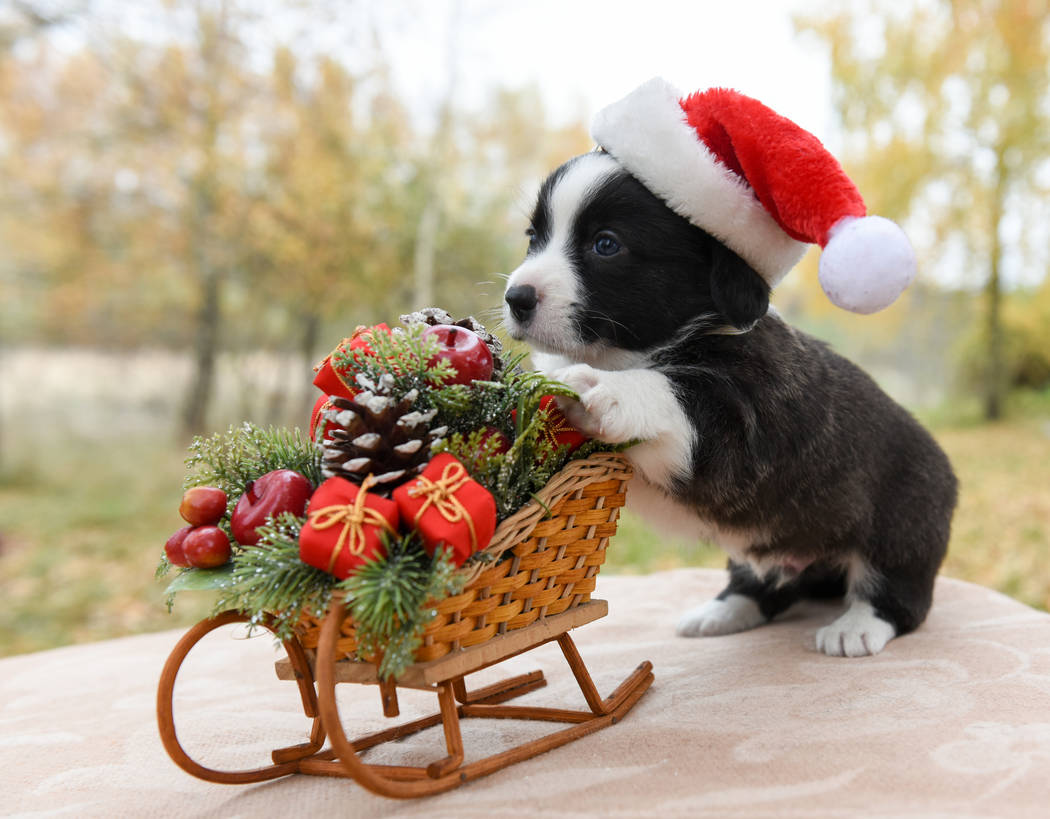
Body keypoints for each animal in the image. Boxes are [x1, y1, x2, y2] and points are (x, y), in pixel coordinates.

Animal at [503, 150, 957, 655]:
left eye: (605, 244)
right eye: (533, 238)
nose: (516, 298)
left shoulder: (740, 429)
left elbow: (665, 391)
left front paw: (596, 388)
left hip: (903, 521)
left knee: (900, 595)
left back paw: (856, 626)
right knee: (768, 587)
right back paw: (722, 612)